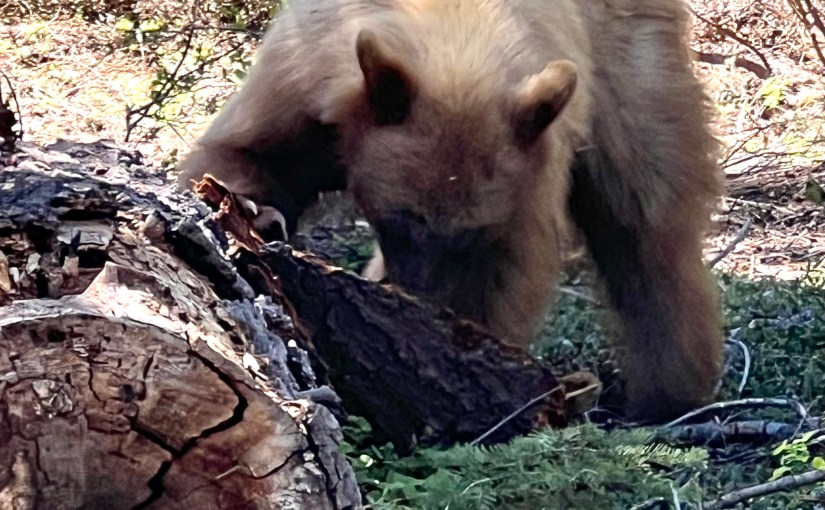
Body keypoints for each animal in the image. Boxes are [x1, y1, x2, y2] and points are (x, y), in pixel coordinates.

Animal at [178, 0, 724, 422]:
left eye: (469, 237)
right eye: (398, 221)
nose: (415, 297)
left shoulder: (528, 175)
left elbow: (502, 277)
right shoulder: (303, 77)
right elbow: (243, 153)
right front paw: (255, 214)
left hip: (630, 65)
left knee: (646, 219)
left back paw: (671, 393)